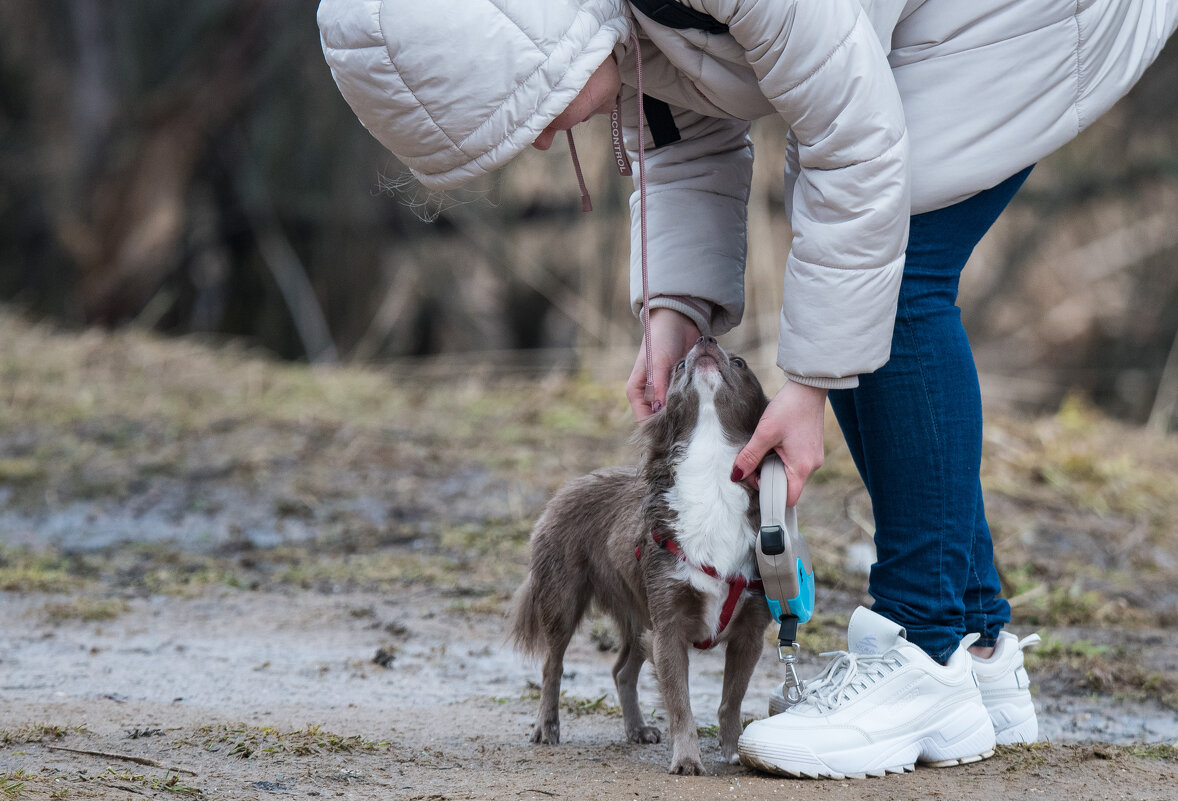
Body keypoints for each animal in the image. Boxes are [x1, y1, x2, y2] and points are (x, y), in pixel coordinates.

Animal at [513, 334, 772, 772]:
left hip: (638, 613)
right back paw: (546, 727)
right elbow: (681, 705)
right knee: (553, 665)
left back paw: (636, 729)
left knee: (621, 671)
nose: (705, 339)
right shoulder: (668, 628)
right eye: (678, 367)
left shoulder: (748, 633)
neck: (712, 470)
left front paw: (735, 748)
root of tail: (565, 489)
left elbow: (730, 701)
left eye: (739, 363)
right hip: (563, 600)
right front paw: (687, 759)